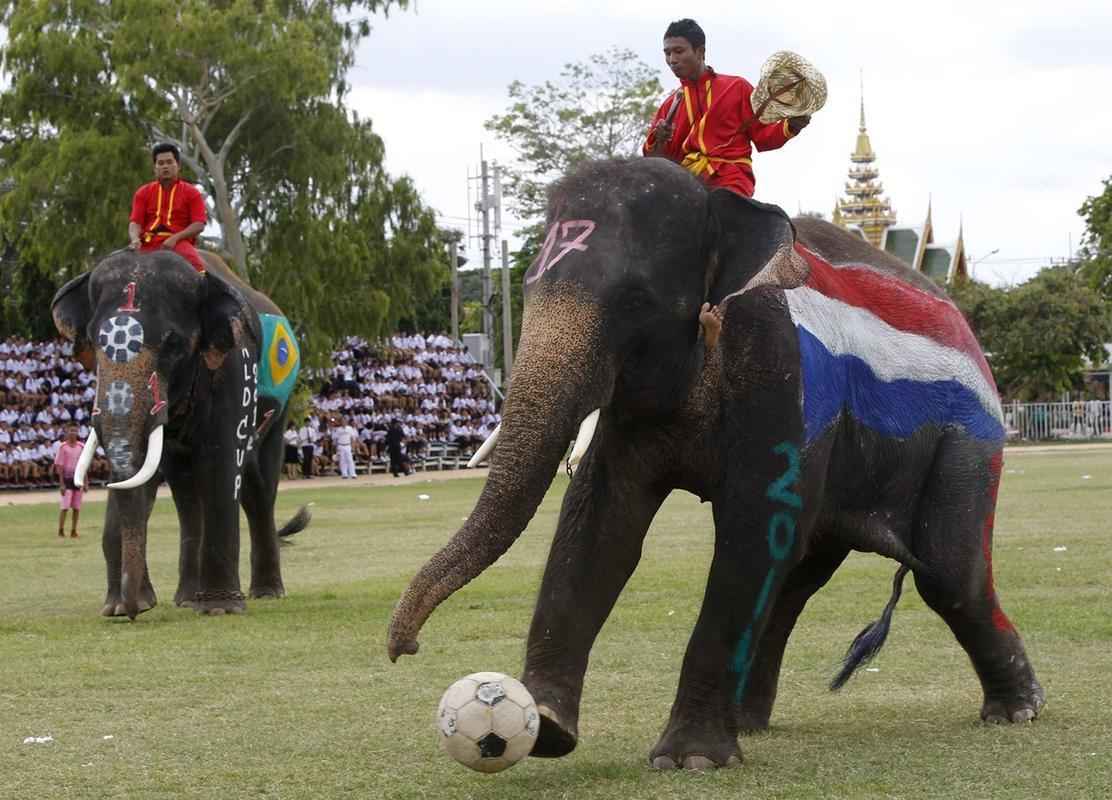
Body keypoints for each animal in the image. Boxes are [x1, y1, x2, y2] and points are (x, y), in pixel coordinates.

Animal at [52, 250, 309, 618]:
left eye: (172, 344)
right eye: (94, 343)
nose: (134, 610)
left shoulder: (234, 367)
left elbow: (221, 462)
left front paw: (220, 610)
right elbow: (139, 474)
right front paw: (116, 609)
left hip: (279, 410)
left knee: (256, 486)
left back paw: (266, 593)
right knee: (186, 492)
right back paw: (187, 599)